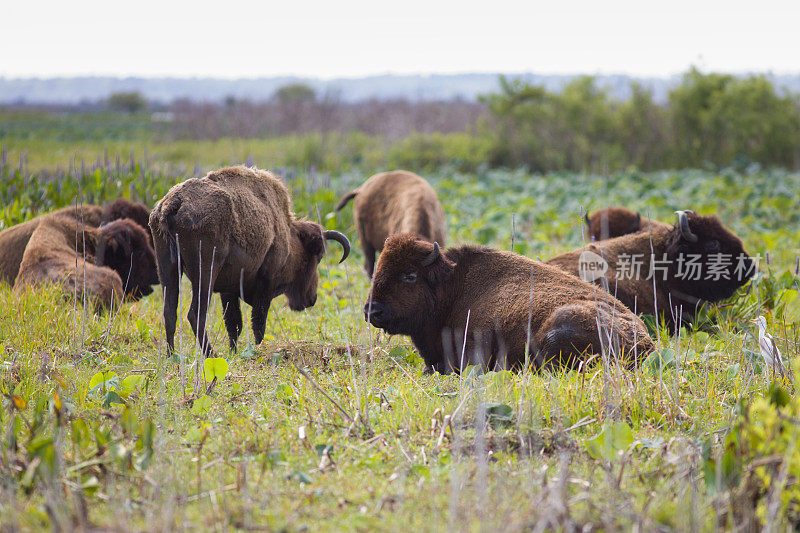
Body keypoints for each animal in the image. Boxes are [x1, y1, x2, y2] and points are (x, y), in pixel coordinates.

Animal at [150, 165, 350, 358]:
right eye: (317, 256)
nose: (311, 299)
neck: (288, 234)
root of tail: (174, 203)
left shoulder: (229, 289)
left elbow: (234, 323)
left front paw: (234, 351)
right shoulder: (266, 283)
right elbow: (258, 322)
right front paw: (257, 348)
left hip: (167, 268)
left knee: (169, 312)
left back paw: (171, 355)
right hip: (205, 274)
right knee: (195, 314)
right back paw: (210, 354)